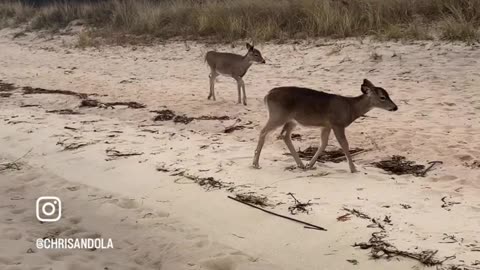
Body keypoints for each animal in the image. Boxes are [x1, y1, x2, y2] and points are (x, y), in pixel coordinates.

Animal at [251, 79, 398, 173]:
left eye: (388, 94)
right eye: (382, 97)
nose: (395, 107)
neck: (350, 108)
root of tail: (267, 95)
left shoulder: (326, 125)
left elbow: (324, 143)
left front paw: (310, 164)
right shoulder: (337, 123)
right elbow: (344, 144)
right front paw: (353, 169)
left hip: (291, 120)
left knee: (284, 136)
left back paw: (301, 164)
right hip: (278, 115)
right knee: (264, 132)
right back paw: (255, 163)